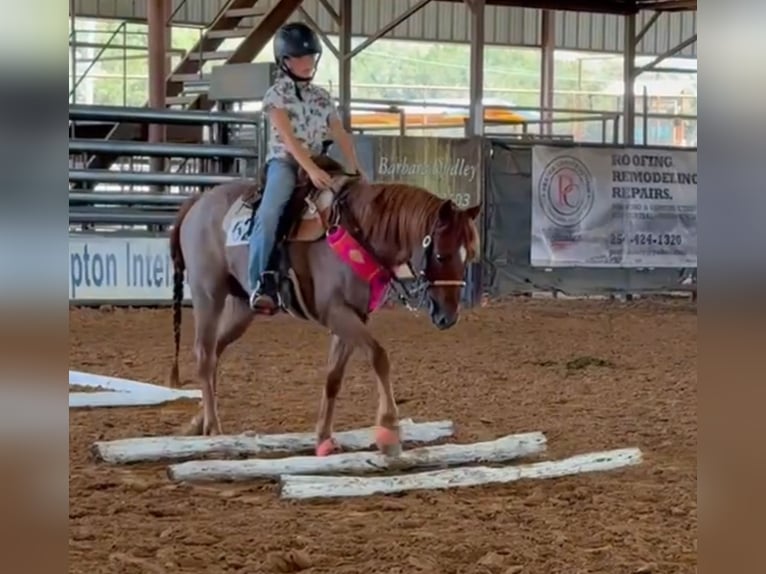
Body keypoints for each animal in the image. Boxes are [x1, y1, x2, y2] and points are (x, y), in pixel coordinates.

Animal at [168, 154, 481, 457]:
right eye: (440, 255)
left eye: (469, 256)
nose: (449, 316)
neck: (360, 231)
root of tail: (198, 201)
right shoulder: (336, 312)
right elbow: (379, 356)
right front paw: (389, 431)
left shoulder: (354, 316)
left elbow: (333, 377)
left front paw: (324, 439)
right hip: (208, 293)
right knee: (205, 354)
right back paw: (213, 427)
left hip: (242, 307)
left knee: (216, 351)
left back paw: (198, 422)